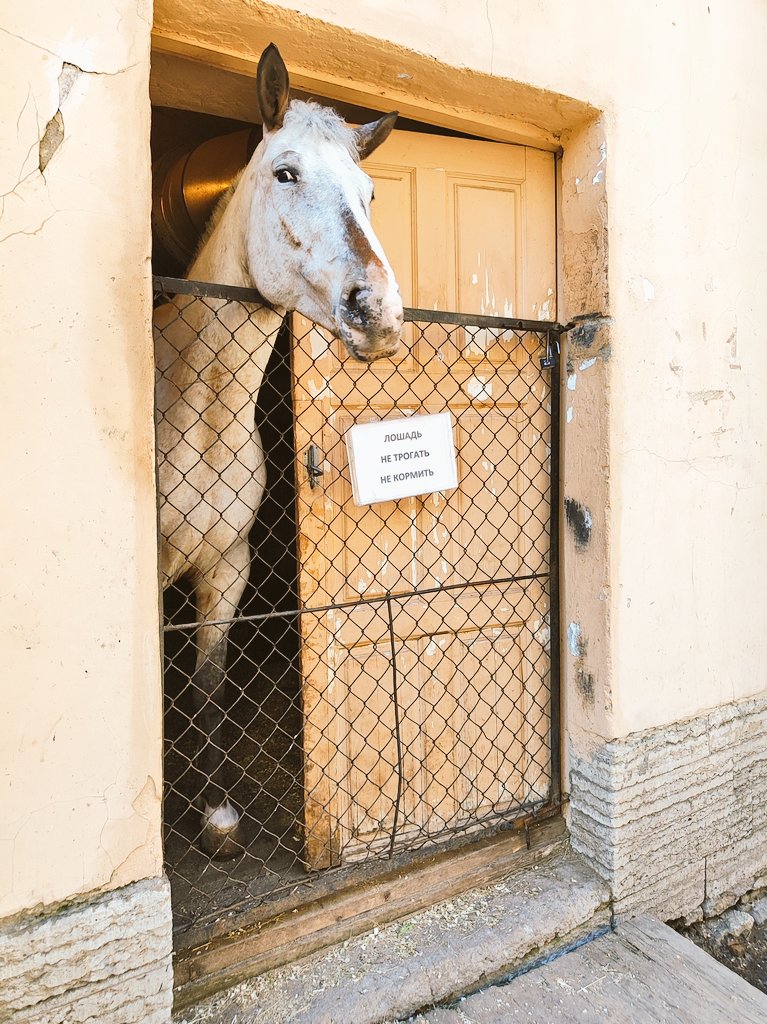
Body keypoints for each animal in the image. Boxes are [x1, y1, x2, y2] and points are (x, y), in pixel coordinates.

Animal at [153, 48, 403, 860]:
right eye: (284, 172)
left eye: (370, 193)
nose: (378, 312)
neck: (198, 409)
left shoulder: (227, 568)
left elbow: (207, 682)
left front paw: (218, 818)